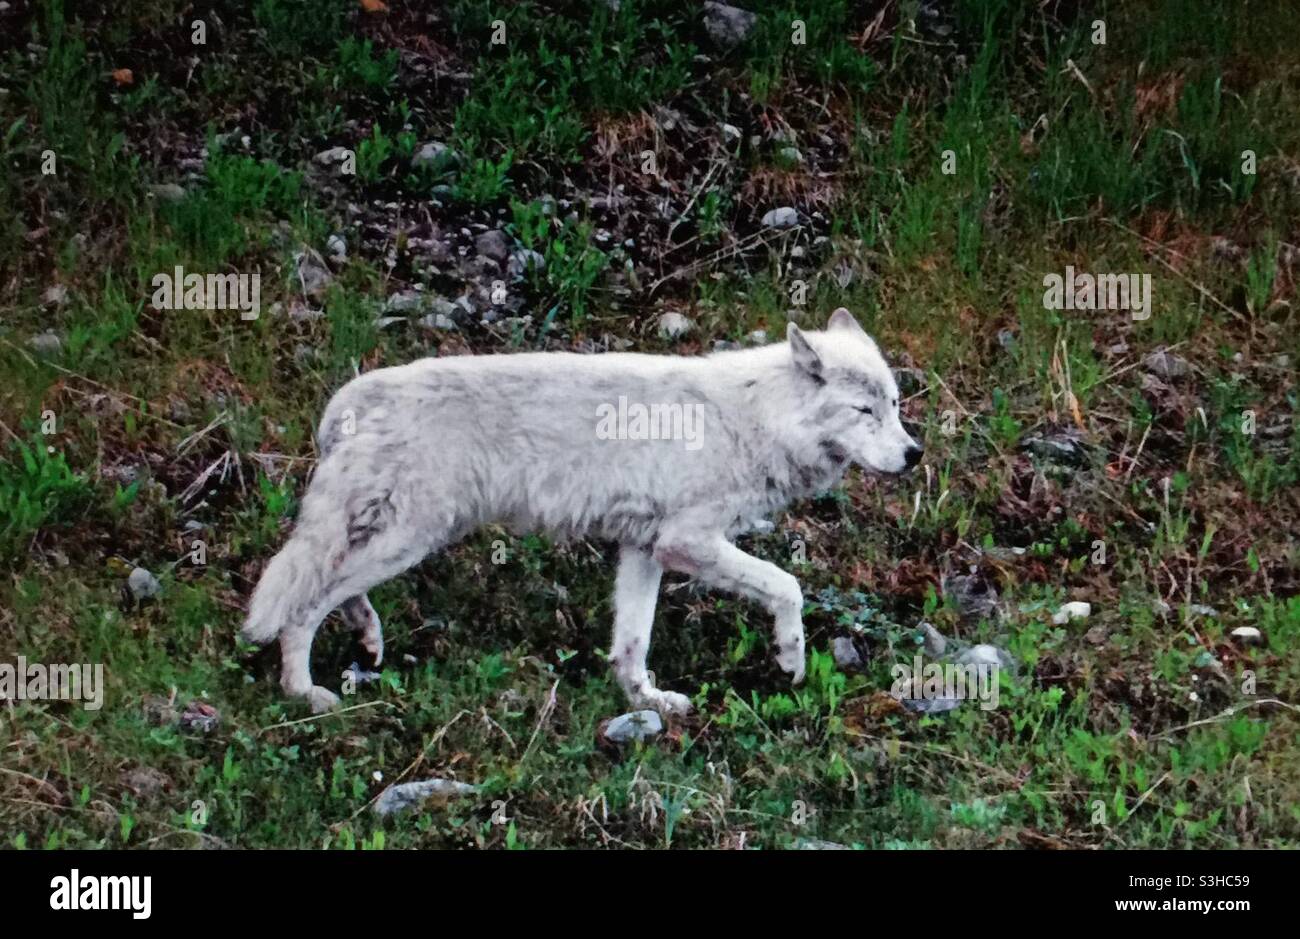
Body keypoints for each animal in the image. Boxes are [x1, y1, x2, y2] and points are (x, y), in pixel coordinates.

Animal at [241, 308, 922, 715]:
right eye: (865, 412)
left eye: (893, 405)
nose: (915, 455)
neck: (756, 419)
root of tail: (352, 395)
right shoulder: (685, 542)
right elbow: (788, 587)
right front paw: (790, 657)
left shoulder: (645, 549)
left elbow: (632, 643)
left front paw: (646, 701)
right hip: (411, 538)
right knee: (301, 608)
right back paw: (305, 692)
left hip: (400, 539)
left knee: (335, 587)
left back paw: (366, 634)